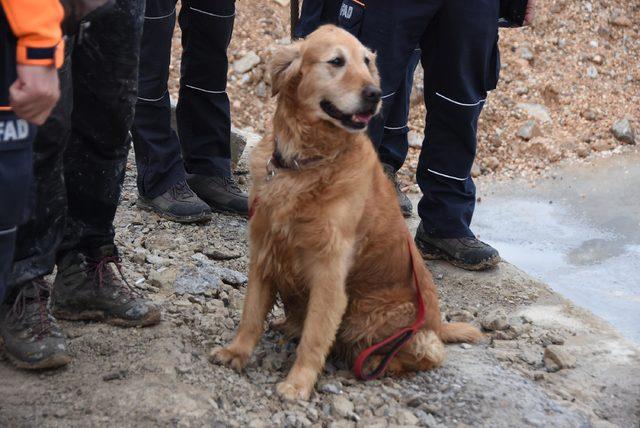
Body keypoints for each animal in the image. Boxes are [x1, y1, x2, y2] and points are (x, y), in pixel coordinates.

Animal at [212, 25, 482, 402]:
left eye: (367, 62)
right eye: (336, 61)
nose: (375, 94)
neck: (307, 163)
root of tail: (436, 323)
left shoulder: (329, 271)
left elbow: (315, 336)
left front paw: (298, 384)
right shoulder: (265, 248)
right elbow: (251, 313)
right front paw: (236, 351)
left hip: (373, 318)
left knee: (424, 353)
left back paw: (374, 362)